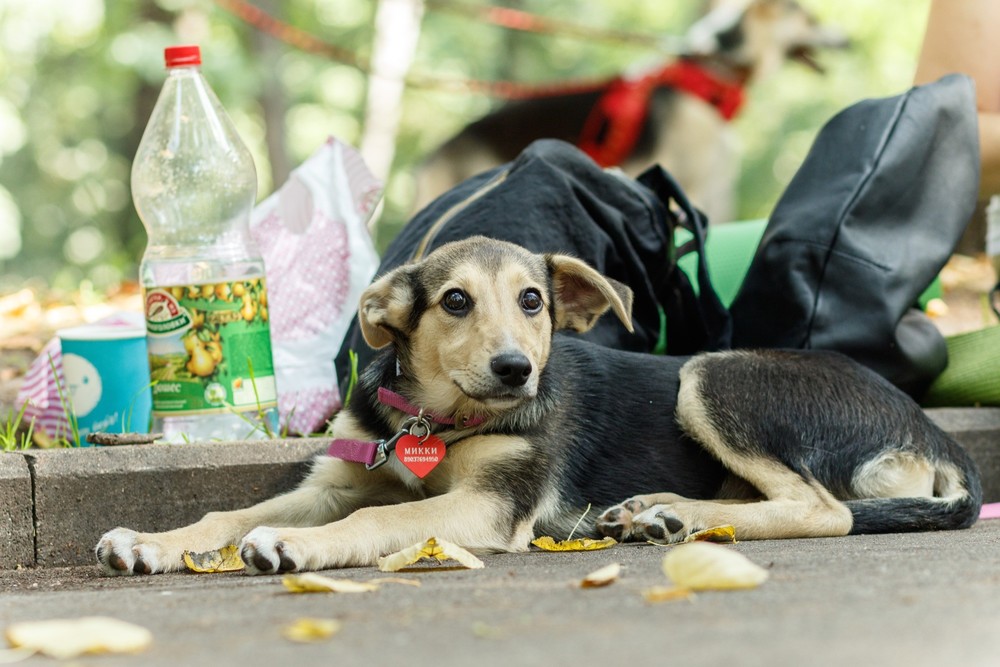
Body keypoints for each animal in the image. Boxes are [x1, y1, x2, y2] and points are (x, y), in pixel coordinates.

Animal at [97, 236, 980, 576]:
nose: (516, 369)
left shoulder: (488, 506)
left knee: (825, 508)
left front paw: (292, 546)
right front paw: (150, 541)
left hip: (710, 376)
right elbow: (230, 514)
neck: (435, 419)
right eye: (453, 301)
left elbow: (379, 519)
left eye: (533, 301)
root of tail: (935, 433)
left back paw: (672, 513)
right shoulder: (336, 478)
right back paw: (660, 512)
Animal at [412, 0, 844, 224]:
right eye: (811, 18)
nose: (848, 40)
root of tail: (434, 154)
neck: (710, 72)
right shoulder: (683, 182)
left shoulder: (712, 186)